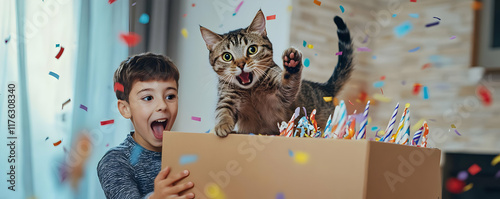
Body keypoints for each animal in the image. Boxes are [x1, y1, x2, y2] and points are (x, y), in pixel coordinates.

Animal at [200, 9, 356, 137]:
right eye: (227, 56)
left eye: (252, 49)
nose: (241, 64)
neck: (250, 90)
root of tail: (324, 88)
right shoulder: (227, 96)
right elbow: (223, 110)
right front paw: (222, 125)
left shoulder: (282, 95)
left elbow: (288, 82)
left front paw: (292, 64)